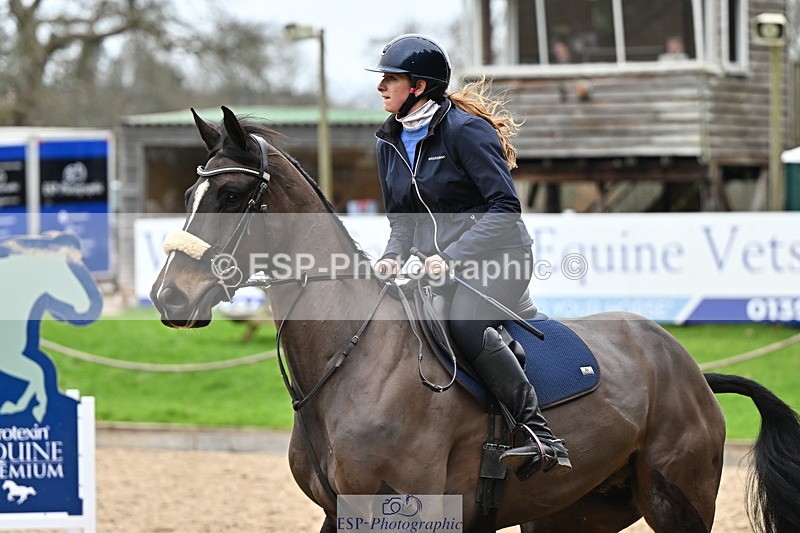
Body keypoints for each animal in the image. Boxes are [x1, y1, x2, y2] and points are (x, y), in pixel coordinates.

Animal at [0, 233, 101, 422]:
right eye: (68, 275)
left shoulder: (14, 356)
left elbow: (39, 371)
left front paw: (28, 408)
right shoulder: (8, 357)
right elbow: (38, 371)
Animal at [151, 107, 800, 533]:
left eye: (232, 197)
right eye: (188, 195)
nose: (168, 298)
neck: (350, 360)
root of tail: (691, 370)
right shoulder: (342, 514)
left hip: (678, 501)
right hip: (576, 513)